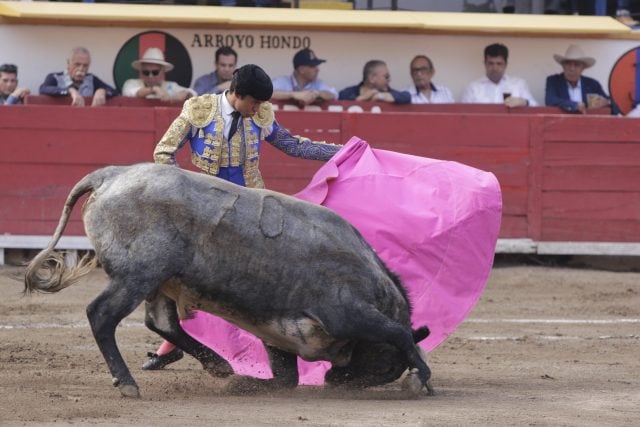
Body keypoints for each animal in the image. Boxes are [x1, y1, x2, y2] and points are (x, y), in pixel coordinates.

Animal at [26, 164, 436, 398]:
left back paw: (219, 366)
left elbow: (285, 377)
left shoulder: (280, 333)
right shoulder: (345, 311)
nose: (337, 380)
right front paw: (421, 378)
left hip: (159, 280)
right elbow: (399, 334)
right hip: (138, 275)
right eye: (387, 367)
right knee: (102, 315)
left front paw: (248, 383)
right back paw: (127, 382)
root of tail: (110, 175)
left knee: (160, 322)